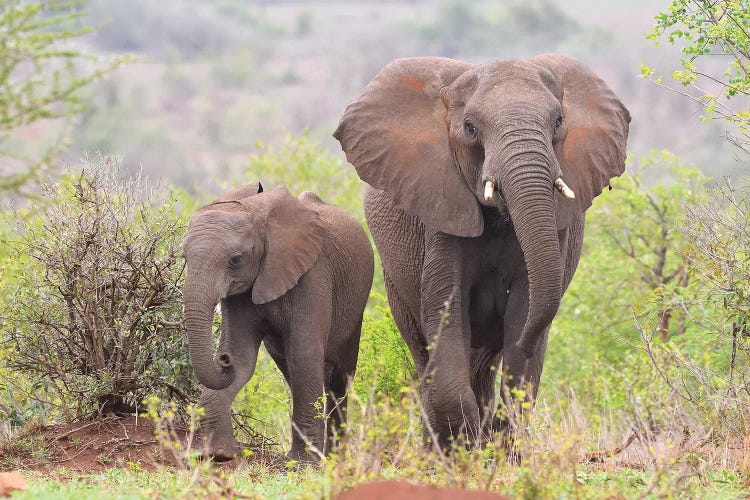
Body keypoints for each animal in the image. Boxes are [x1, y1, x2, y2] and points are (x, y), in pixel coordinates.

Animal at [184, 182, 374, 462]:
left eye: (235, 260)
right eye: (184, 259)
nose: (222, 360)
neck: (256, 214)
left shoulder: (313, 273)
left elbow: (304, 352)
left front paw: (303, 464)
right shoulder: (240, 293)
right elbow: (242, 357)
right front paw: (218, 454)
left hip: (355, 307)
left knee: (339, 376)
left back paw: (333, 458)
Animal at [336, 54, 636, 450]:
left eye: (558, 121)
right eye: (470, 128)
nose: (527, 342)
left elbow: (525, 308)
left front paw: (495, 446)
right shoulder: (442, 213)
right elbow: (445, 311)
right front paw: (464, 451)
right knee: (425, 356)